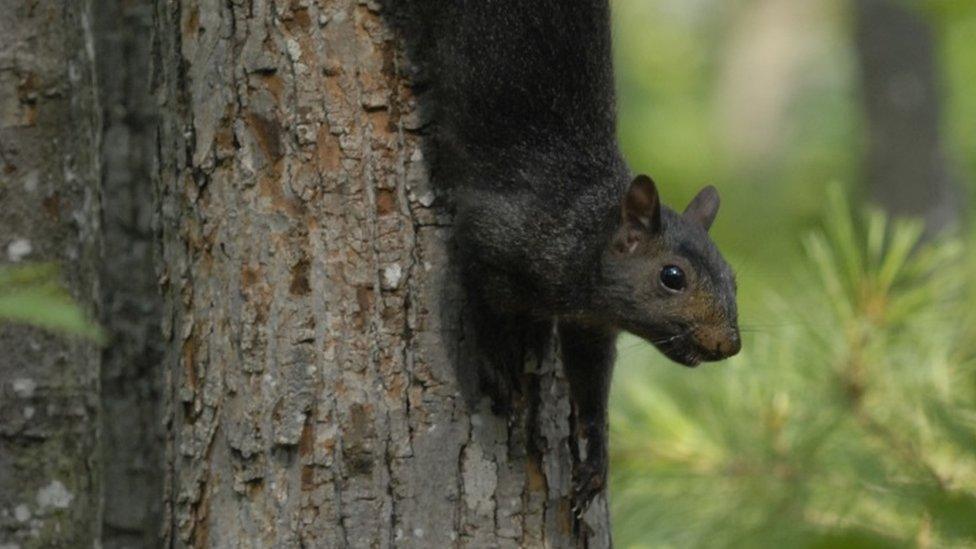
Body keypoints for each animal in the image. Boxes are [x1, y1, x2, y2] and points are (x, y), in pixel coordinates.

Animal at [408, 0, 736, 510]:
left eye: (732, 277)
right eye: (672, 277)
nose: (730, 344)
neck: (582, 230)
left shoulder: (591, 324)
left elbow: (590, 382)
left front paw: (597, 456)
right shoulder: (491, 238)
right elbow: (480, 305)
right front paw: (497, 369)